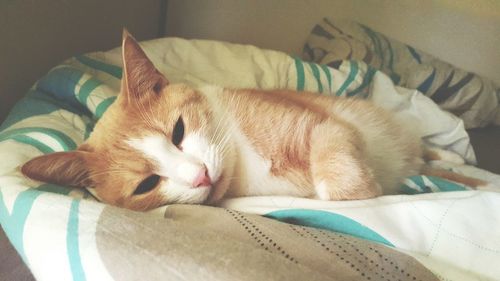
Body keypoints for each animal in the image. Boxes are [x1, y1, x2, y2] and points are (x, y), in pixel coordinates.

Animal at [20, 30, 488, 210]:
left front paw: (358, 190)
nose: (200, 176)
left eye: (178, 131)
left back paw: (458, 164)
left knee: (429, 153)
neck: (243, 159)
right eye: (146, 185)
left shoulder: (327, 126)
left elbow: (335, 168)